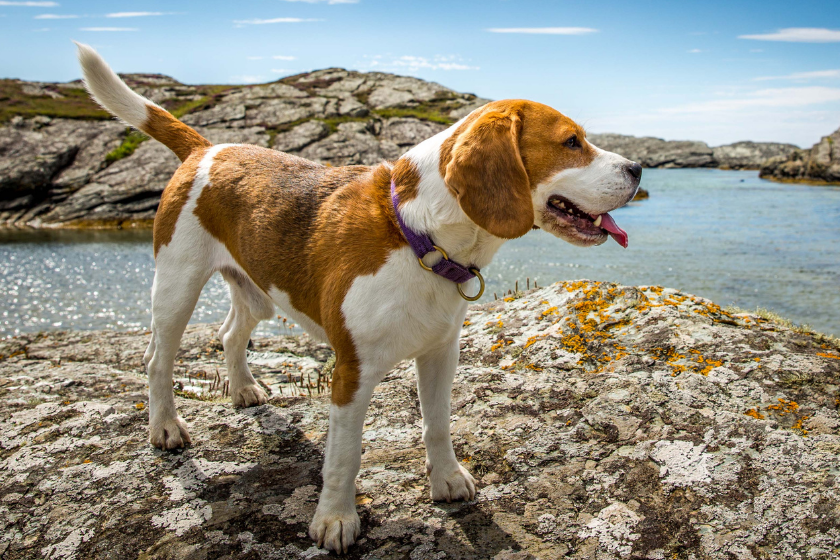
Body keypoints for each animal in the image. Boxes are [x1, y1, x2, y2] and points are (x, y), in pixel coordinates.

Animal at [79, 42, 640, 552]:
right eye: (572, 142)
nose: (638, 169)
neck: (418, 235)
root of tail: (206, 148)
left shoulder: (441, 352)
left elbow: (437, 424)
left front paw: (447, 480)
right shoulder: (351, 372)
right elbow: (344, 455)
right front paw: (334, 520)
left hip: (257, 293)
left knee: (230, 332)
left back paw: (243, 389)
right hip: (176, 285)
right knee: (157, 359)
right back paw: (165, 427)